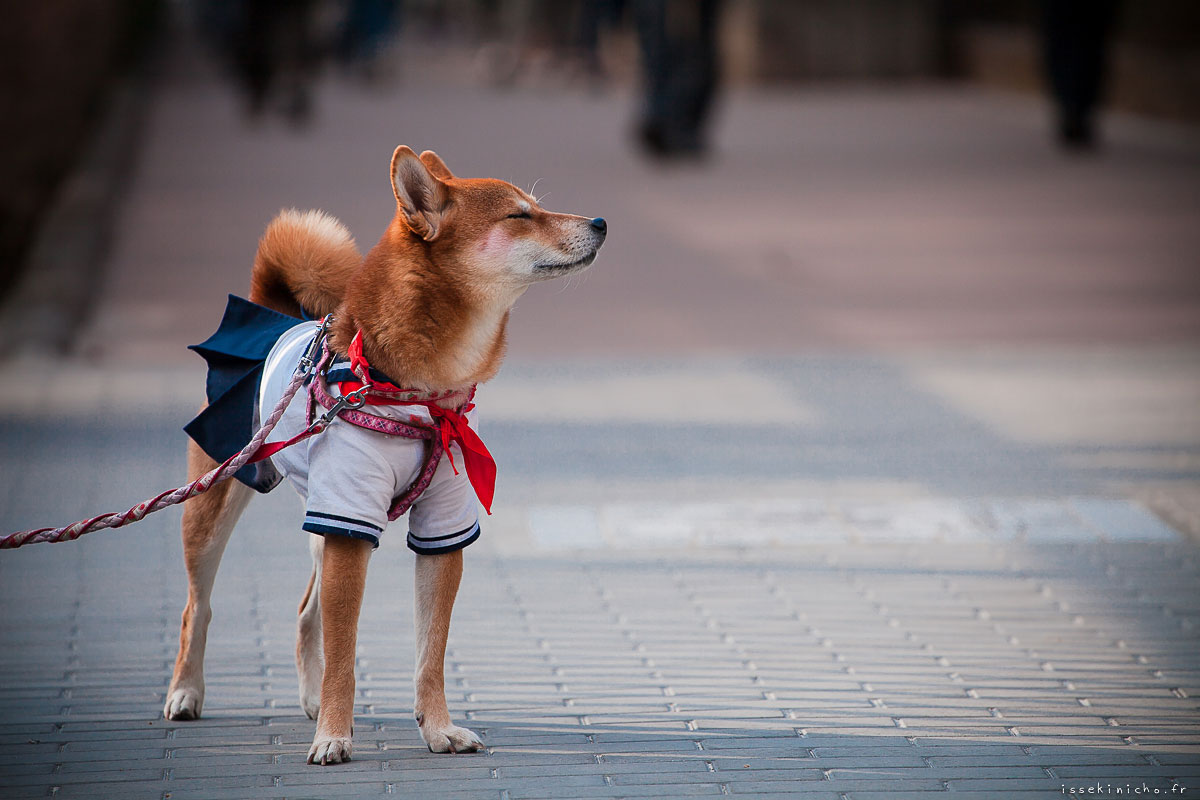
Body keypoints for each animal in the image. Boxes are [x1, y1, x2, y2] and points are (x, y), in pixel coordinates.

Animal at [164, 143, 604, 762]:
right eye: (520, 216)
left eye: (537, 207)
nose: (601, 222)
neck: (419, 394)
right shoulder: (350, 525)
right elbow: (345, 654)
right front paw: (334, 736)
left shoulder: (438, 527)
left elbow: (430, 654)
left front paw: (438, 729)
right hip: (220, 505)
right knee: (196, 607)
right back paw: (186, 692)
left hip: (322, 519)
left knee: (305, 614)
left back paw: (310, 701)